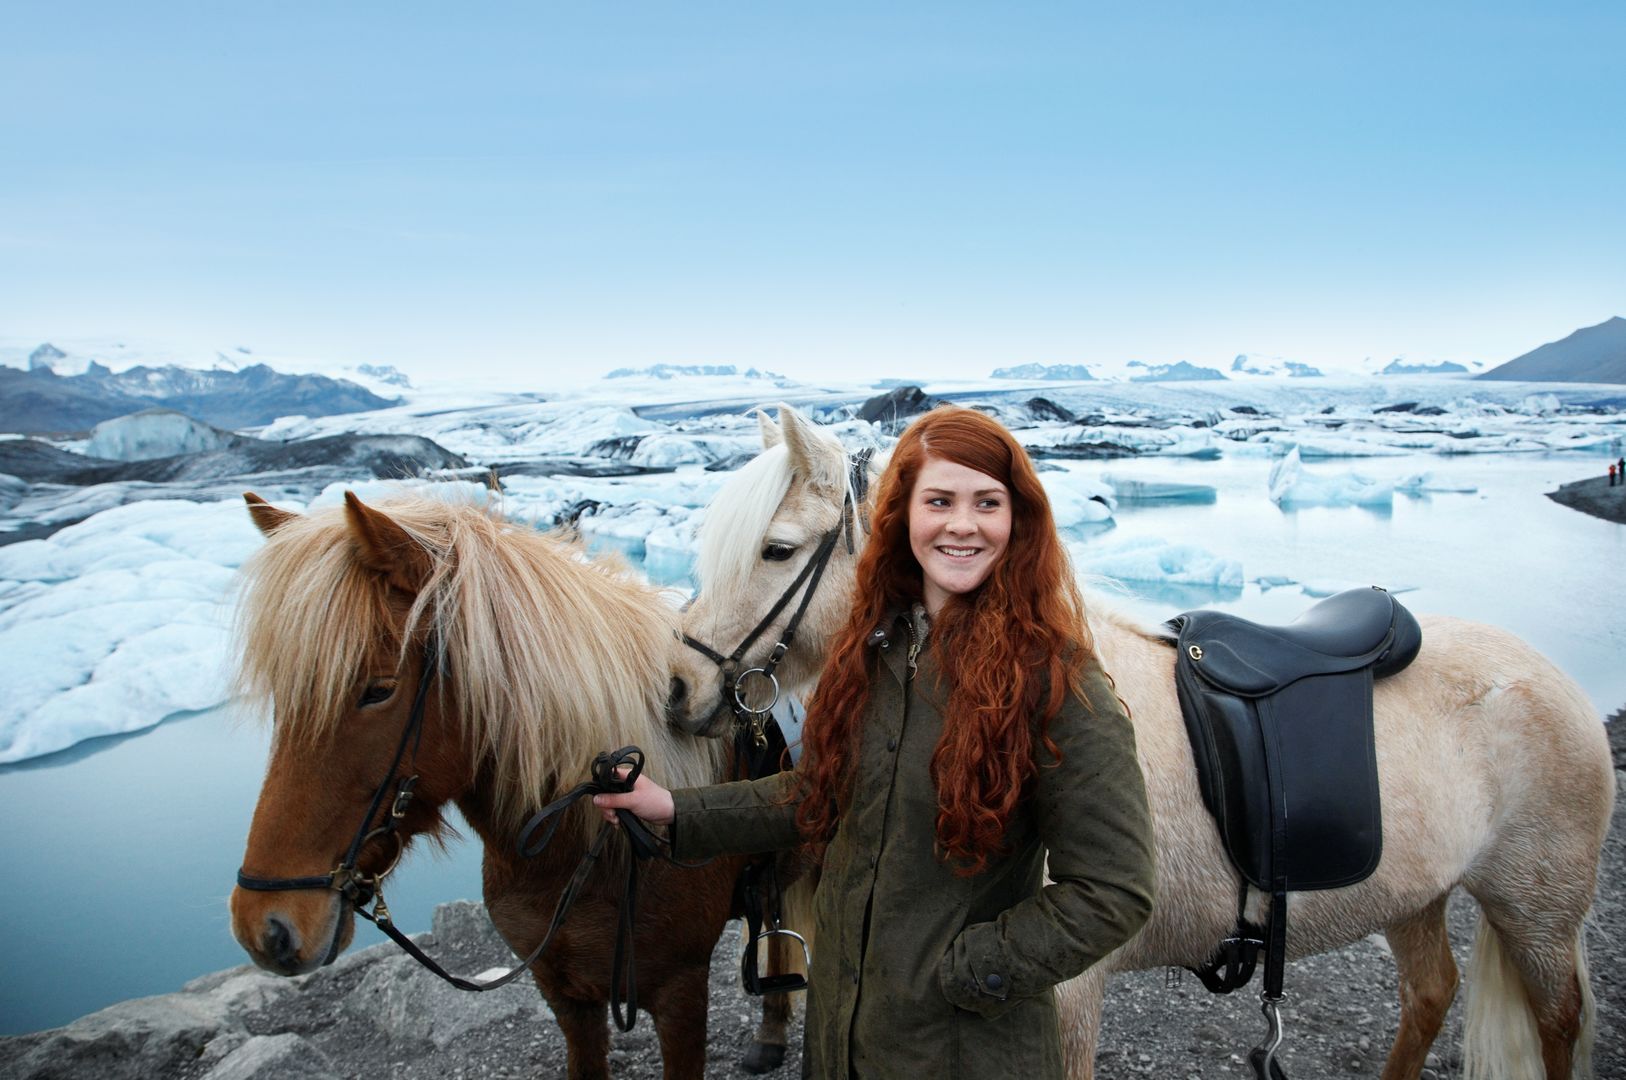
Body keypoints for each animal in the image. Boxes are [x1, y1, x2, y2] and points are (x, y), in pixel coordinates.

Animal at [663, 405, 1612, 1080]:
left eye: (777, 549)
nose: (674, 690)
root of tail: (1553, 676)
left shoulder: (1061, 993)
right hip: (1417, 894)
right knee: (1430, 995)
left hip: (1537, 912)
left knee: (1558, 1025)